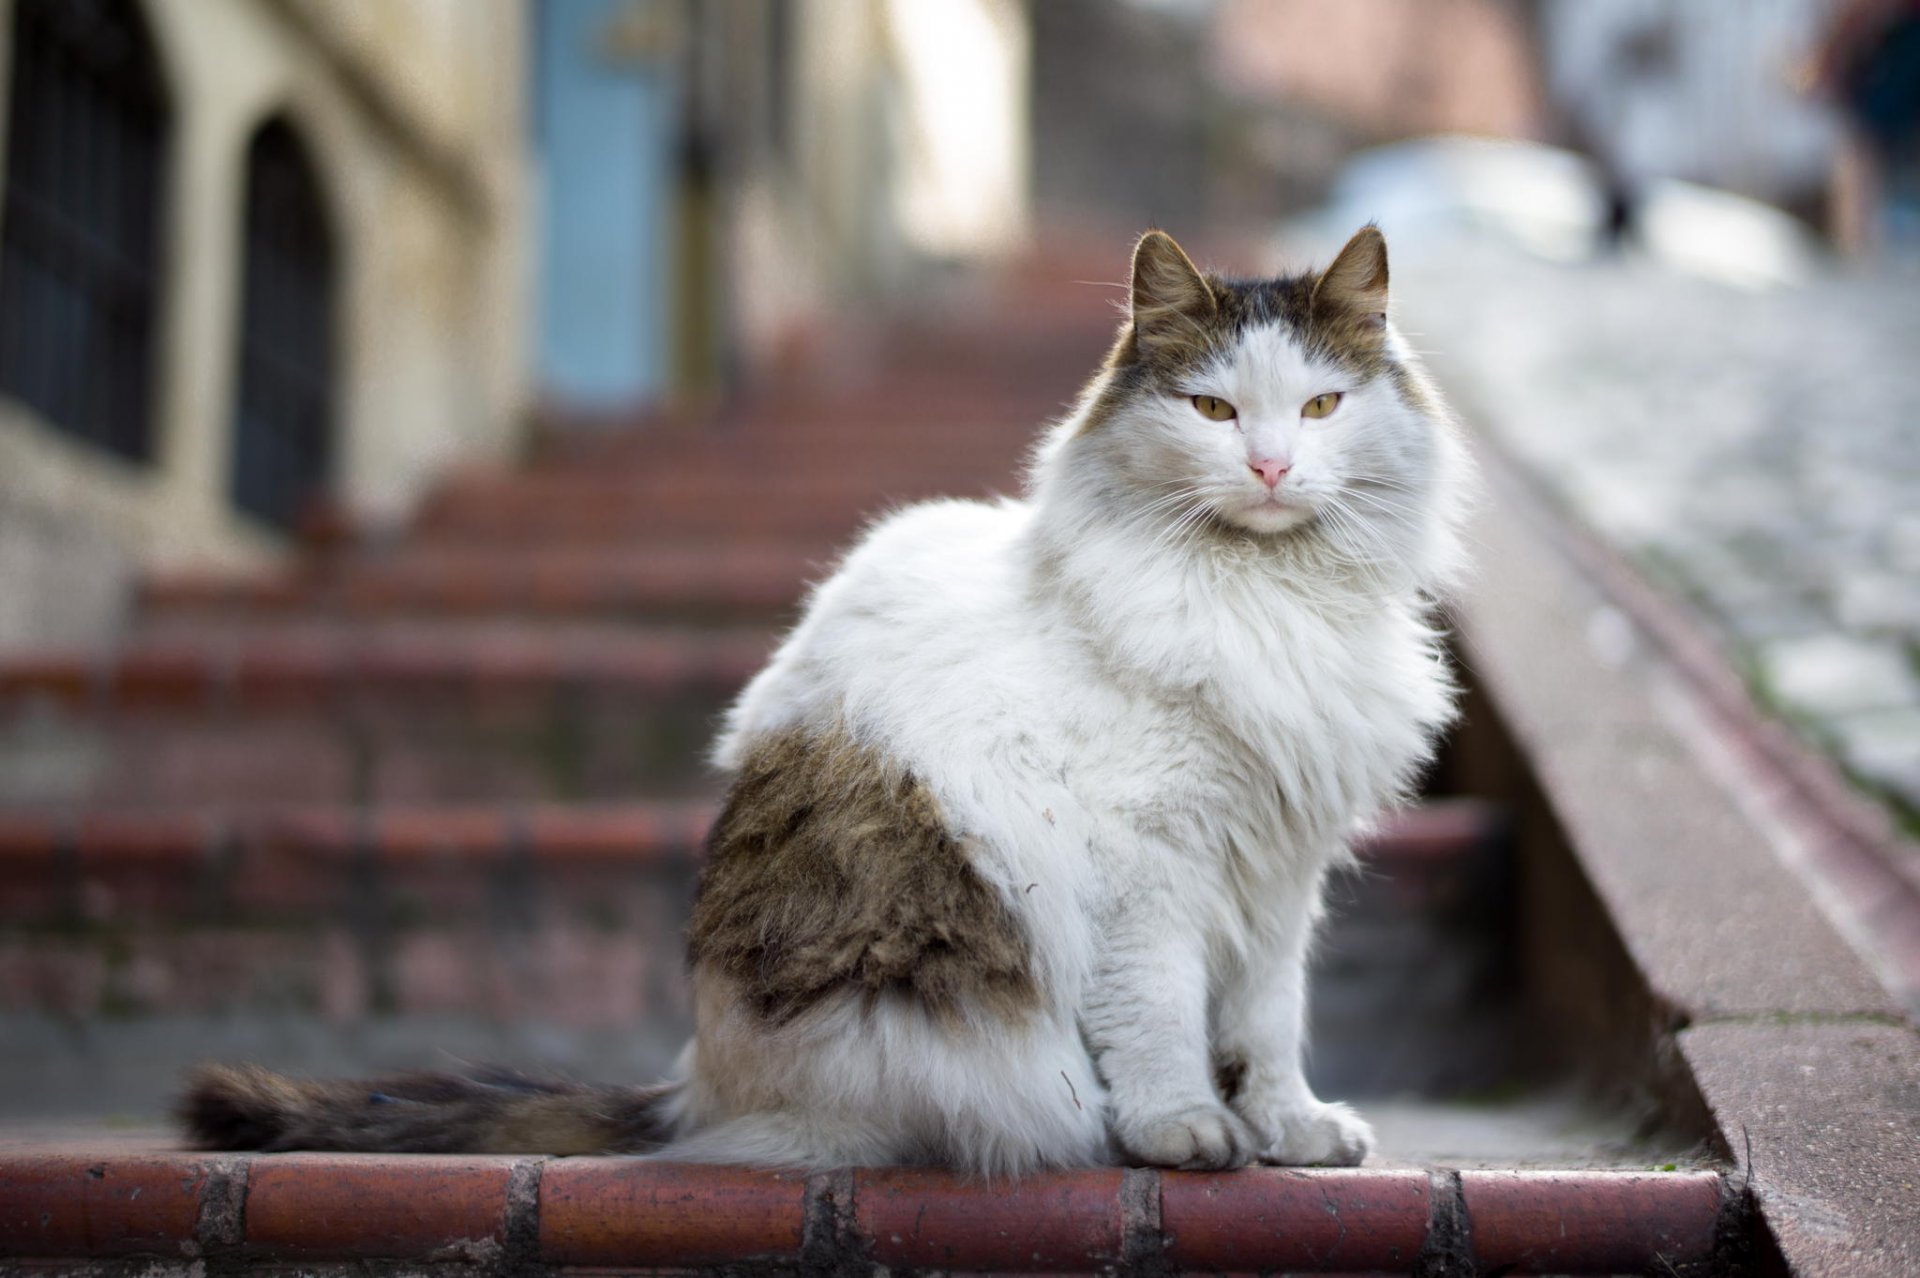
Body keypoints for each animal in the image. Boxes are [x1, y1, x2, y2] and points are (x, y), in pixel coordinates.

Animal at [183, 223, 1466, 1166]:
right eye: (1212, 411)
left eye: (1320, 407)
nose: (1271, 467)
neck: (1265, 602)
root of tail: (695, 1088)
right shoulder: (1152, 864)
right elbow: (1160, 1019)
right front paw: (1184, 1131)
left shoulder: (1282, 867)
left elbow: (1266, 1022)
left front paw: (1290, 1131)